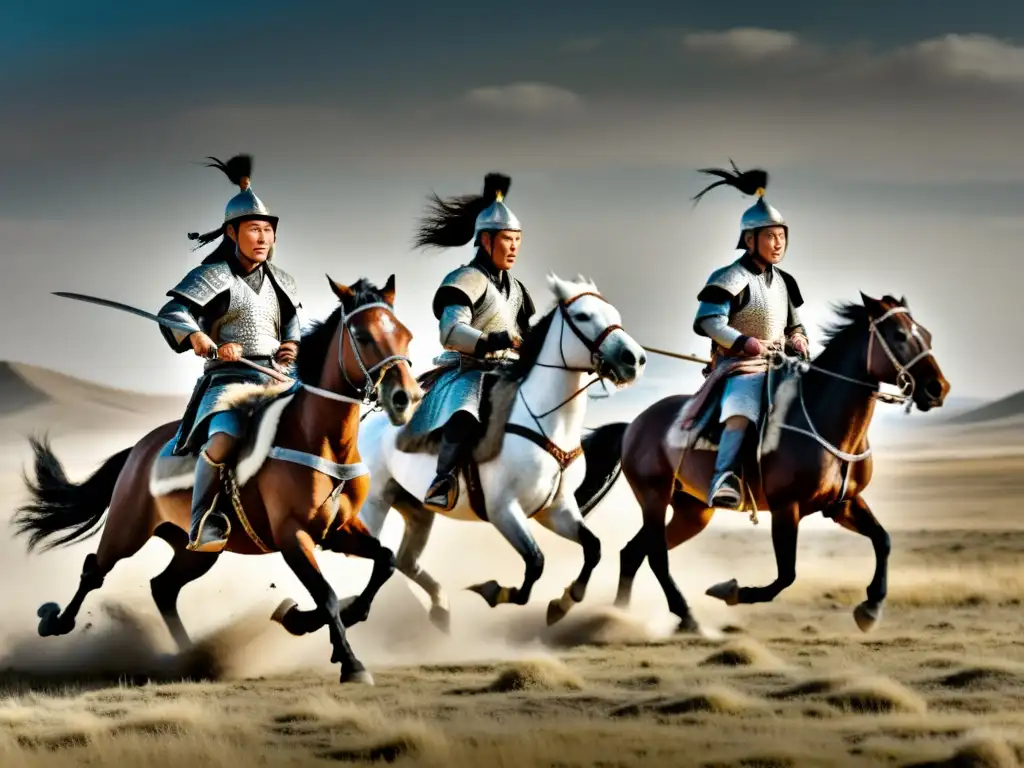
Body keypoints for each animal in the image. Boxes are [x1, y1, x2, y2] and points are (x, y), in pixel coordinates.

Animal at [12, 274, 419, 684]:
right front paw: (350, 662)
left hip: (196, 549)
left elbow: (384, 562)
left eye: (405, 334)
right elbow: (327, 595)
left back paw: (190, 656)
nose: (406, 397)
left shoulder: (338, 530)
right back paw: (56, 622)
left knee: (163, 587)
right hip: (127, 529)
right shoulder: (292, 535)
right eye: (363, 336)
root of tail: (139, 450)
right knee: (95, 570)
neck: (318, 439)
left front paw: (302, 619)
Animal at [346, 274, 638, 630]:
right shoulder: (504, 511)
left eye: (614, 314)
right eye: (582, 316)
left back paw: (440, 609)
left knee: (404, 561)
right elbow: (535, 563)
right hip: (374, 503)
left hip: (415, 508)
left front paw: (564, 601)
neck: (542, 419)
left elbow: (592, 548)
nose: (634, 358)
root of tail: (365, 423)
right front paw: (493, 591)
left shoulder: (556, 511)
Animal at [606, 290, 950, 634]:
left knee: (633, 552)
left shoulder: (844, 504)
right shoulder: (786, 507)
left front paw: (871, 608)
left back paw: (619, 614)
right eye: (899, 335)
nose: (937, 388)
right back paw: (684, 617)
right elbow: (786, 575)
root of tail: (634, 425)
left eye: (928, 335)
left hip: (692, 511)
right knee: (655, 556)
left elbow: (883, 540)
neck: (822, 418)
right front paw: (730, 591)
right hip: (654, 497)